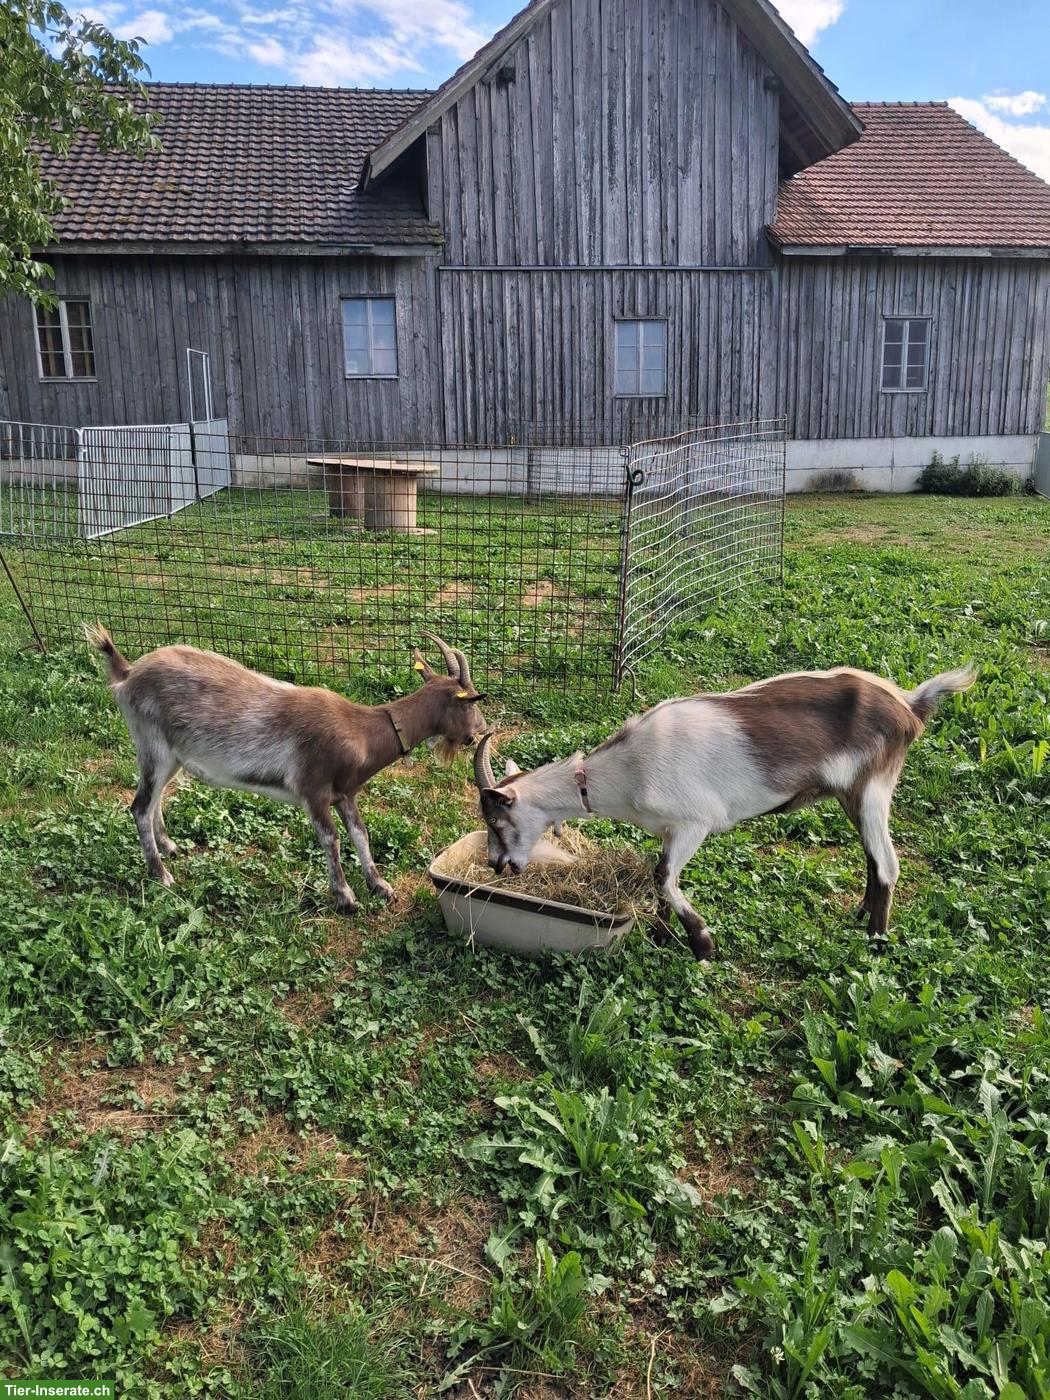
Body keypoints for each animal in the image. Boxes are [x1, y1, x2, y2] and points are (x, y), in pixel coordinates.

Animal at [85, 625, 486, 912]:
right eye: (471, 701)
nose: (480, 730)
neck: (360, 729)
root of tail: (128, 673)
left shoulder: (346, 792)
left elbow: (360, 835)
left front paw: (381, 887)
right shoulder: (313, 790)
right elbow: (332, 839)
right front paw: (345, 897)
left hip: (173, 757)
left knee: (154, 802)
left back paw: (169, 847)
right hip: (153, 746)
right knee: (139, 806)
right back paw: (162, 875)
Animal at [473, 664, 977, 958]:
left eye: (496, 819)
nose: (497, 866)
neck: (625, 768)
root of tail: (908, 704)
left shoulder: (695, 823)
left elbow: (663, 877)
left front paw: (701, 944)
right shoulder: (668, 832)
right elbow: (657, 879)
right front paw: (661, 936)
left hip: (873, 787)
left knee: (888, 864)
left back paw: (876, 942)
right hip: (852, 795)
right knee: (873, 859)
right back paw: (860, 918)